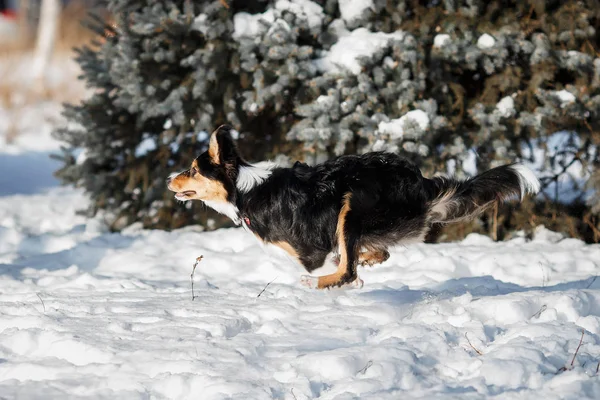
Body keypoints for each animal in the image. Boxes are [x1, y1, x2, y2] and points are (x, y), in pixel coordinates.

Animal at [166, 125, 540, 288]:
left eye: (193, 170)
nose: (170, 179)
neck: (244, 190)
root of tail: (420, 182)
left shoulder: (308, 250)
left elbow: (325, 263)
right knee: (372, 254)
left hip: (352, 205)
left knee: (347, 269)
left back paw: (322, 282)